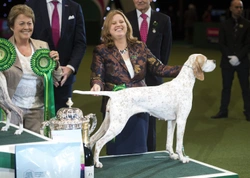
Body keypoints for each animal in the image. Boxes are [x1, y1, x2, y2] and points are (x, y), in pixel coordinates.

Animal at [73, 53, 216, 168]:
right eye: (205, 59)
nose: (214, 61)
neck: (183, 84)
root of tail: (114, 94)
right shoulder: (182, 120)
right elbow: (179, 143)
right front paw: (182, 158)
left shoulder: (172, 121)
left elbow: (169, 142)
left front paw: (172, 155)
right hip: (117, 126)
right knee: (99, 143)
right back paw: (97, 163)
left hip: (108, 123)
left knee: (92, 139)